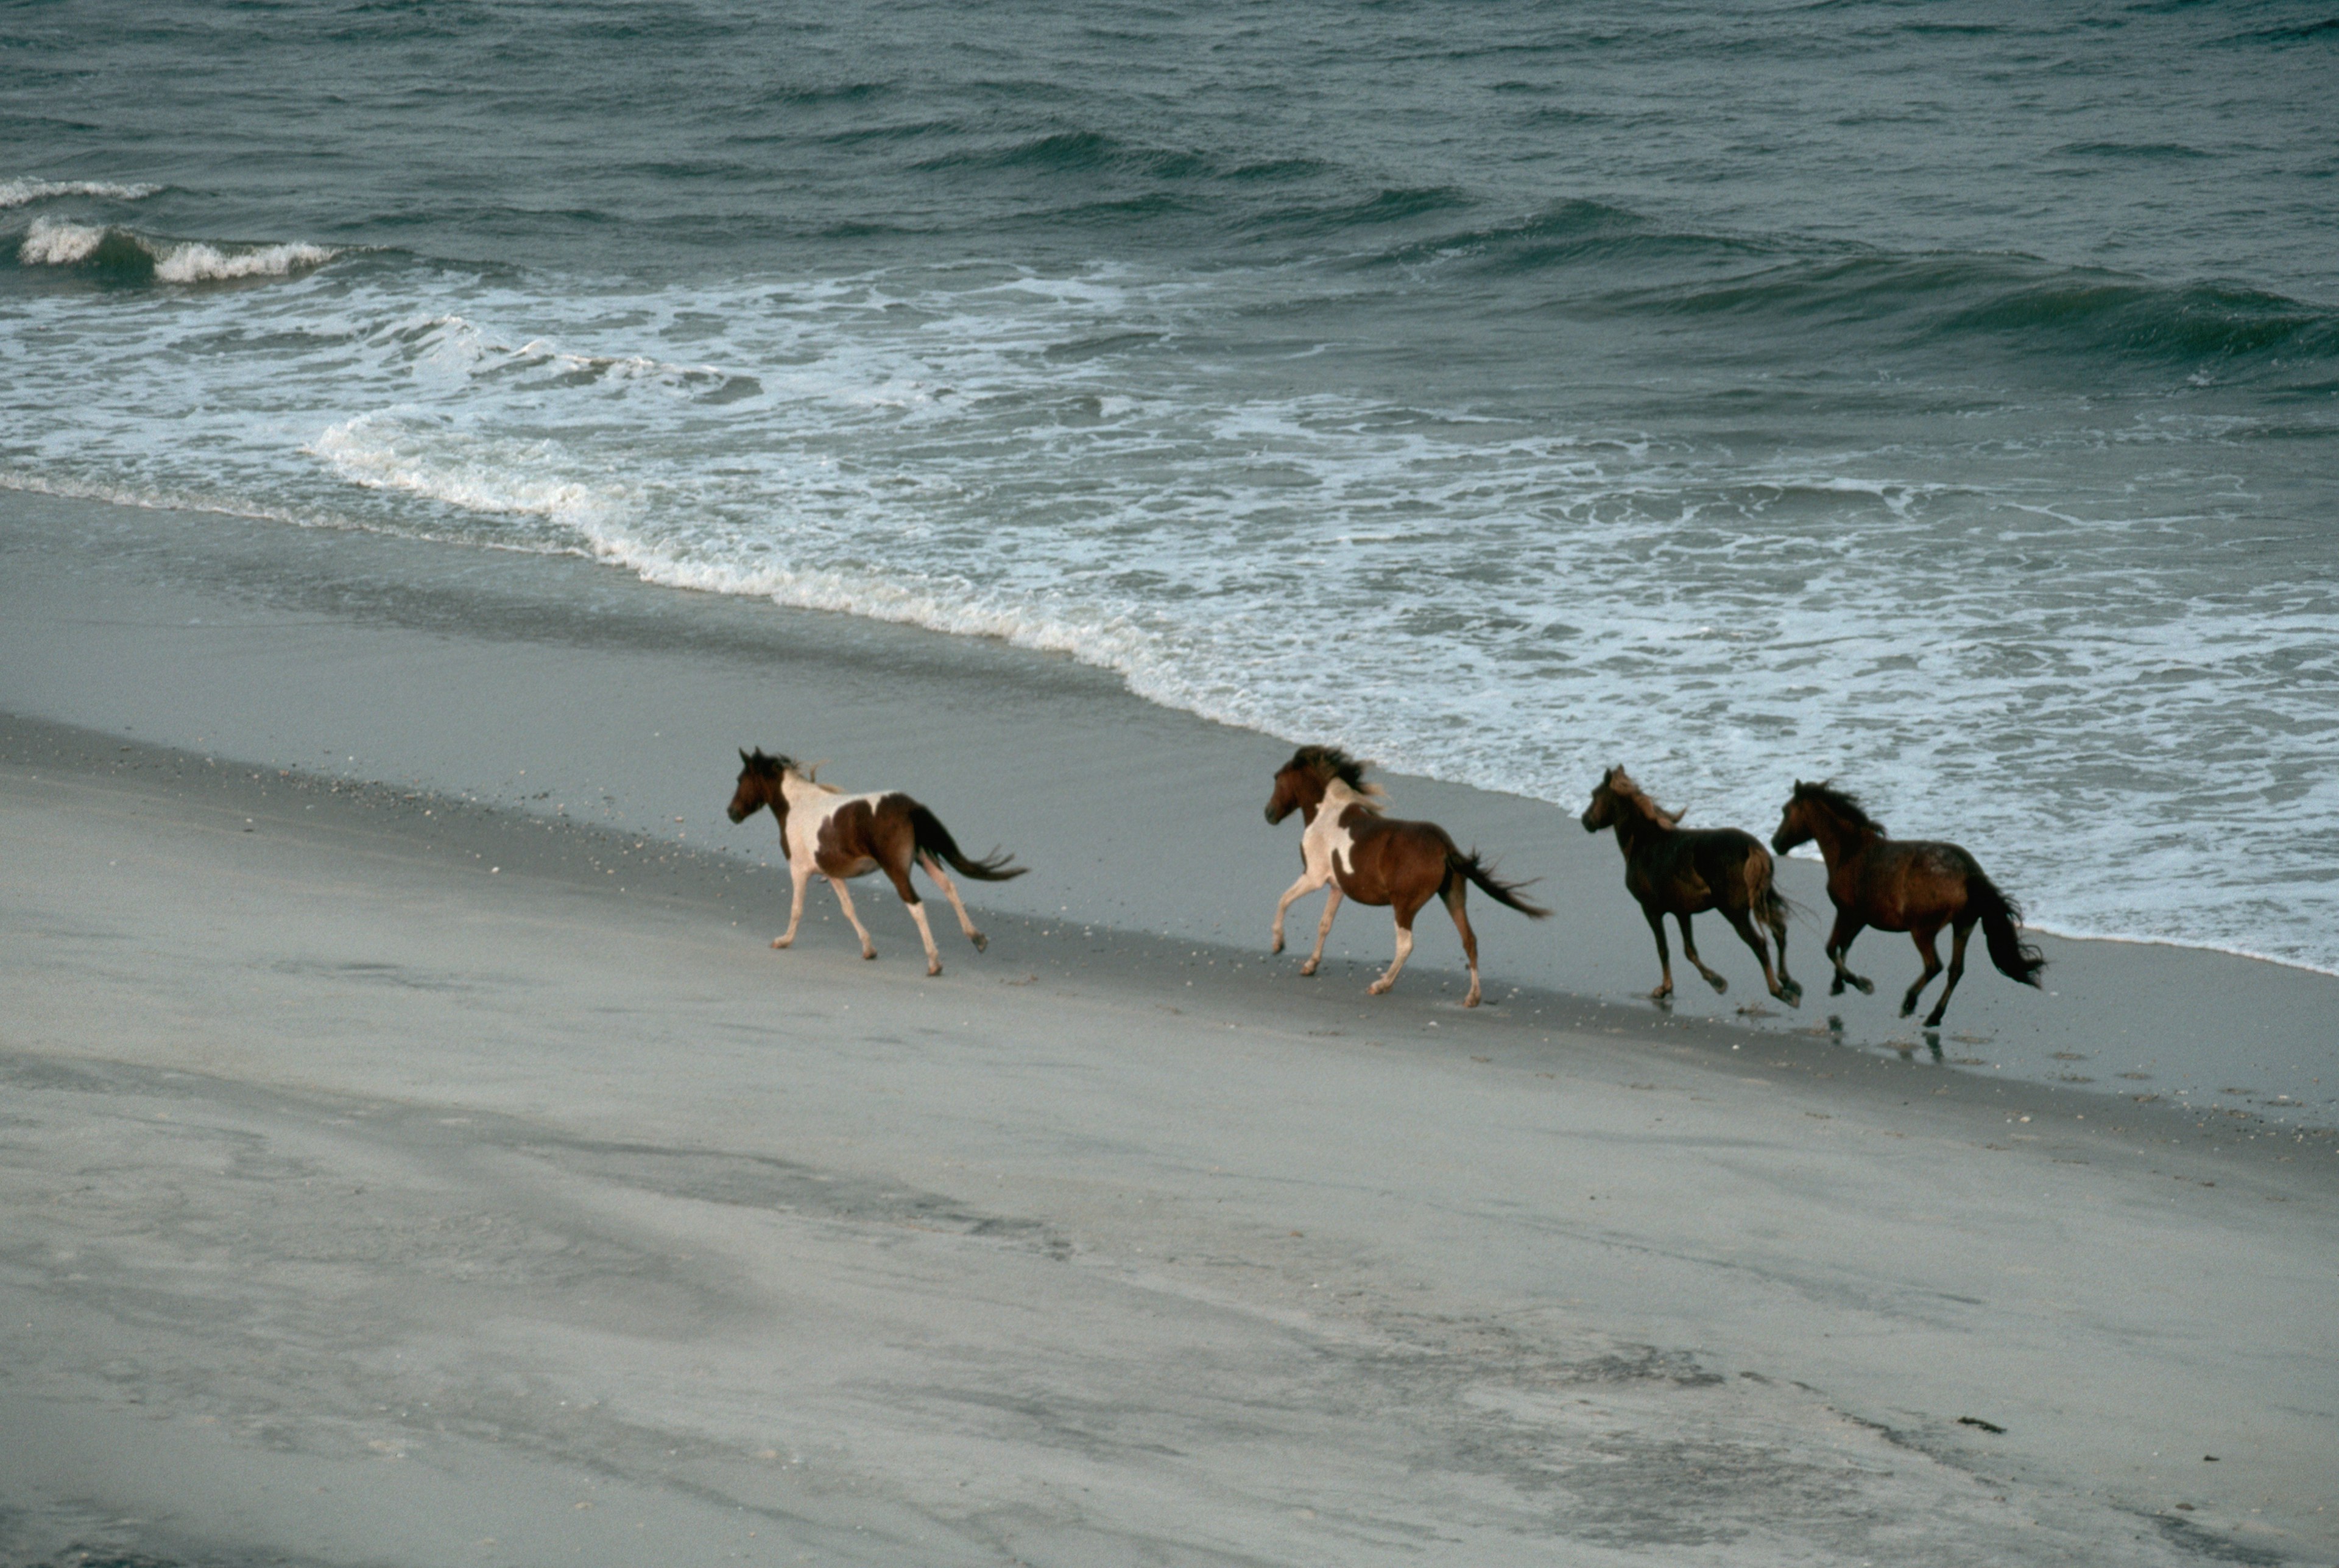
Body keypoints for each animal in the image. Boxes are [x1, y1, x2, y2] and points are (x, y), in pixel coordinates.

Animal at [730, 752, 1024, 981]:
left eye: (740, 780)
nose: (731, 813)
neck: (797, 805)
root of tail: (909, 806)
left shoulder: (799, 870)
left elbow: (797, 910)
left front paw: (783, 941)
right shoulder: (833, 873)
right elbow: (848, 909)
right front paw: (869, 950)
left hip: (897, 870)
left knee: (916, 905)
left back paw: (934, 963)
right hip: (924, 858)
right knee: (949, 888)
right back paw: (977, 938)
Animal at [1272, 743, 1543, 1014]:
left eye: (1277, 778)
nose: (1269, 814)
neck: (1327, 814)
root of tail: (1443, 845)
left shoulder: (1313, 877)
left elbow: (1283, 900)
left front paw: (1278, 945)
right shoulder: (1336, 888)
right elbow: (1324, 924)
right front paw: (1310, 966)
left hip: (1404, 905)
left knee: (1406, 945)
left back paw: (1381, 985)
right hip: (1453, 896)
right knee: (1469, 940)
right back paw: (1472, 998)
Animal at [1581, 771, 1796, 1005]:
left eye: (1595, 795)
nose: (1585, 820)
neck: (1646, 843)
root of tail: (1752, 849)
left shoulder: (1651, 910)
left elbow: (1663, 949)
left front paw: (1664, 989)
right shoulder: (1682, 912)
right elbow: (1689, 950)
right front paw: (1718, 982)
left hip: (1735, 912)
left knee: (1760, 944)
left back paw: (1779, 991)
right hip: (1760, 902)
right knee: (1780, 932)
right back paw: (1790, 984)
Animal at [1777, 785, 2039, 1028]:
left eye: (1786, 811)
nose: (1775, 843)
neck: (1851, 851)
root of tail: (1969, 873)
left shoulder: (1846, 912)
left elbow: (1832, 948)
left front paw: (1861, 984)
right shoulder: (1861, 918)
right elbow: (1844, 946)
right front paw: (1839, 983)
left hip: (1923, 930)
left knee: (1934, 966)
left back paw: (1909, 1003)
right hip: (1963, 926)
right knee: (1955, 970)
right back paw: (1934, 1016)